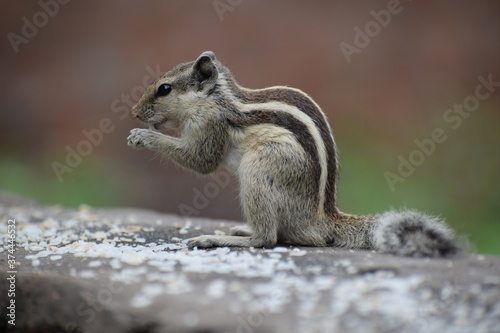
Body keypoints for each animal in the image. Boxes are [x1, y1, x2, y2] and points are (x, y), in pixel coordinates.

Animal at [128, 50, 464, 256]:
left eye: (165, 89)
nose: (134, 113)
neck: (215, 99)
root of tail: (320, 219)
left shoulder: (210, 126)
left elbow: (201, 161)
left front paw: (143, 136)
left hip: (259, 171)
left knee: (267, 238)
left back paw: (220, 238)